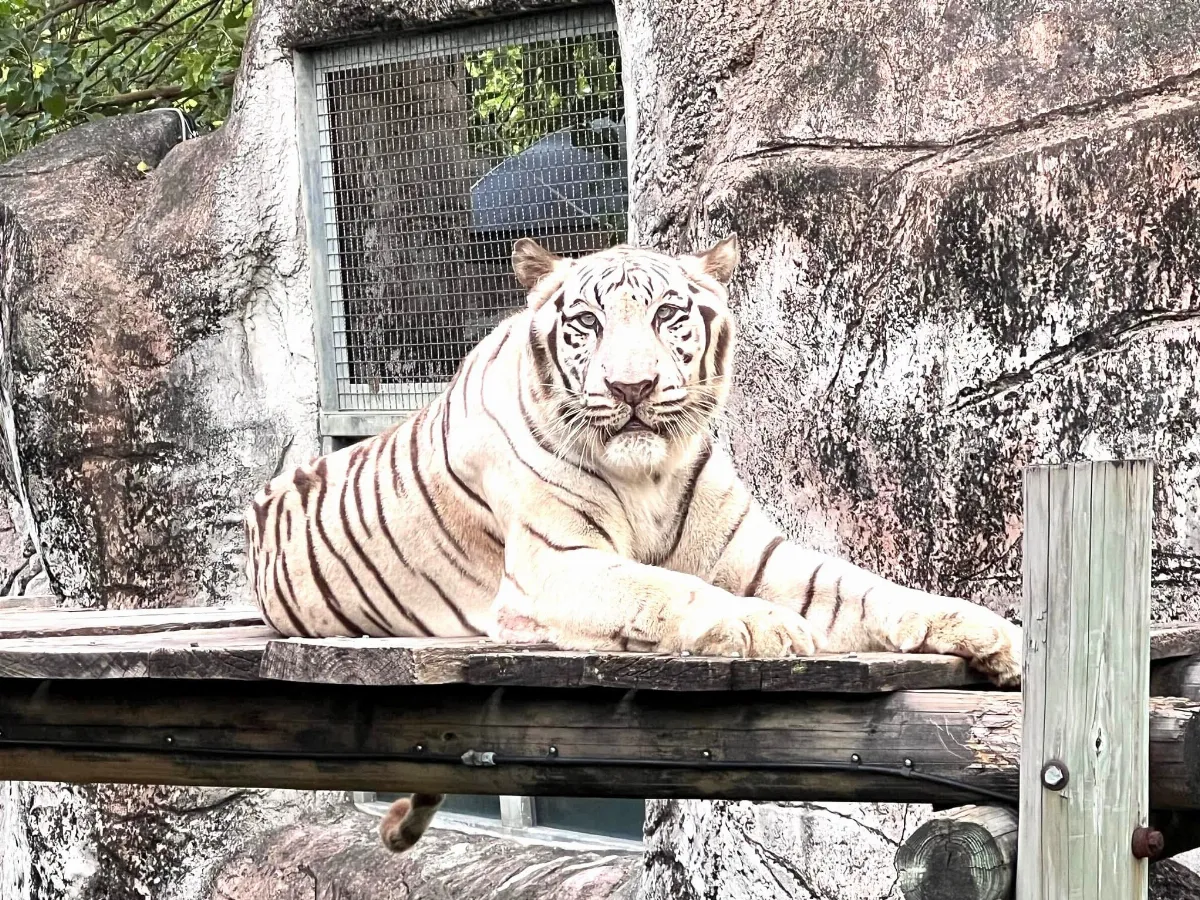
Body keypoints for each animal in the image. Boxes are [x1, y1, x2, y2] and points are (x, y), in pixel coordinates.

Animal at [243, 235, 1022, 854]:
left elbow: (868, 588)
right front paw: (761, 625)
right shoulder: (555, 566)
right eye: (587, 322)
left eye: (666, 315)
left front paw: (995, 634)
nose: (633, 387)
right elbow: (663, 586)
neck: (648, 471)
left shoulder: (756, 556)